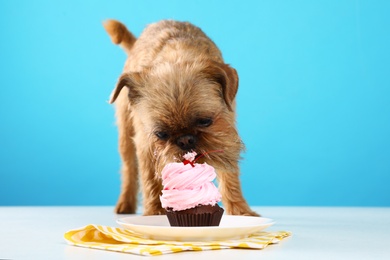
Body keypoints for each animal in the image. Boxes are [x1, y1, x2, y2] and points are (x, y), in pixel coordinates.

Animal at [103, 19, 258, 216]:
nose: (185, 140)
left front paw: (240, 211)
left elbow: (230, 177)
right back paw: (125, 203)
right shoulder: (146, 145)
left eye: (205, 121)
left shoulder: (225, 135)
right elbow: (150, 180)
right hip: (126, 134)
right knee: (129, 168)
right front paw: (155, 213)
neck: (177, 55)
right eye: (161, 134)